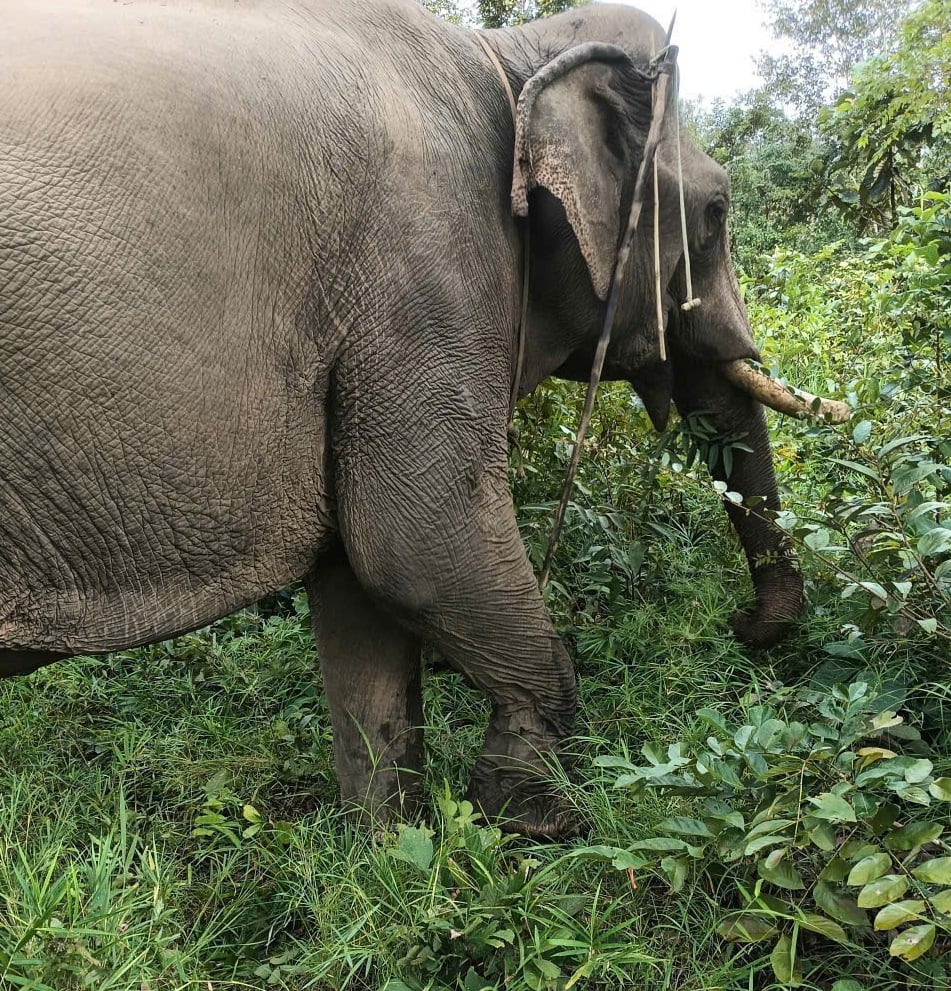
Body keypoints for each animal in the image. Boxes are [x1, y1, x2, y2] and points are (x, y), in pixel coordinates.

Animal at [0, 0, 845, 836]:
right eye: (716, 210)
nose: (743, 625)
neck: (508, 54)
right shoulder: (423, 269)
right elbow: (417, 544)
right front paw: (532, 820)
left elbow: (361, 592)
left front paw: (387, 847)